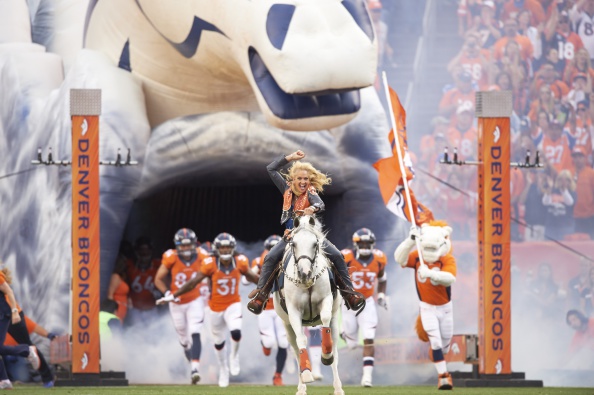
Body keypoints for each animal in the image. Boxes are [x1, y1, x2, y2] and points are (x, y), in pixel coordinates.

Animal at [272, 215, 342, 395]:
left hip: (335, 320)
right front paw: (307, 374)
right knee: (296, 349)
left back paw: (338, 388)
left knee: (335, 348)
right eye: (294, 244)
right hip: (287, 326)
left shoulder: (326, 301)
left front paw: (326, 355)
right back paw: (302, 385)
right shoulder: (294, 312)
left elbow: (325, 325)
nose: (305, 273)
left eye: (315, 244)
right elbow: (301, 341)